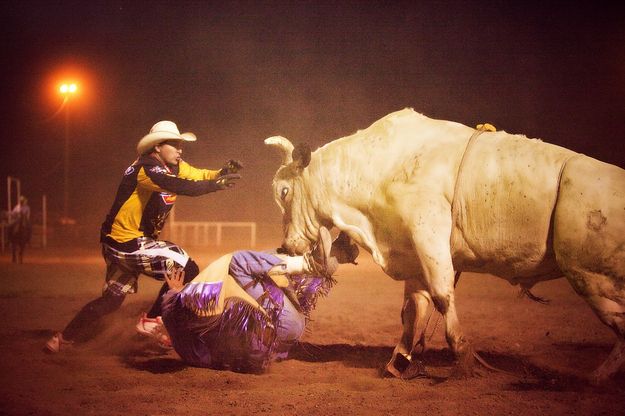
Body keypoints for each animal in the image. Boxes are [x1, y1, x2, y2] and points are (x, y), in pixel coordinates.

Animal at [264, 107, 624, 384]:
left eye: (284, 191)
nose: (286, 247)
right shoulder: (410, 252)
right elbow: (414, 308)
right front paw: (399, 363)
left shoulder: (428, 232)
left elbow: (441, 294)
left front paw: (463, 359)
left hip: (589, 276)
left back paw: (595, 378)